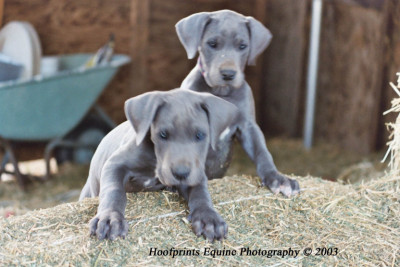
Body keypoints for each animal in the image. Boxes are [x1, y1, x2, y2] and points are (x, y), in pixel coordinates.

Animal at [79, 89, 239, 242]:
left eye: (200, 135)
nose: (181, 173)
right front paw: (109, 218)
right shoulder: (115, 164)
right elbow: (113, 190)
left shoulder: (196, 172)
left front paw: (208, 218)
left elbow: (201, 193)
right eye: (162, 134)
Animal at [175, 10, 300, 197]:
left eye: (242, 46)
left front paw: (279, 178)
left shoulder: (248, 126)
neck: (222, 92)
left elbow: (262, 152)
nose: (228, 74)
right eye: (212, 44)